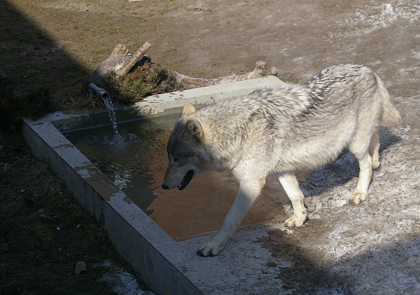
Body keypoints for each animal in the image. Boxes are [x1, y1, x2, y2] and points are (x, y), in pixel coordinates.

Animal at [161, 64, 400, 256]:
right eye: (168, 157)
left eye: (177, 158)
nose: (163, 186)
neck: (238, 132)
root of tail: (368, 70)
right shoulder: (282, 171)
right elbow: (296, 197)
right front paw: (300, 219)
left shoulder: (250, 183)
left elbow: (229, 219)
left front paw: (214, 246)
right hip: (360, 138)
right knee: (375, 142)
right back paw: (377, 160)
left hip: (354, 144)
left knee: (365, 165)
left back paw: (360, 193)